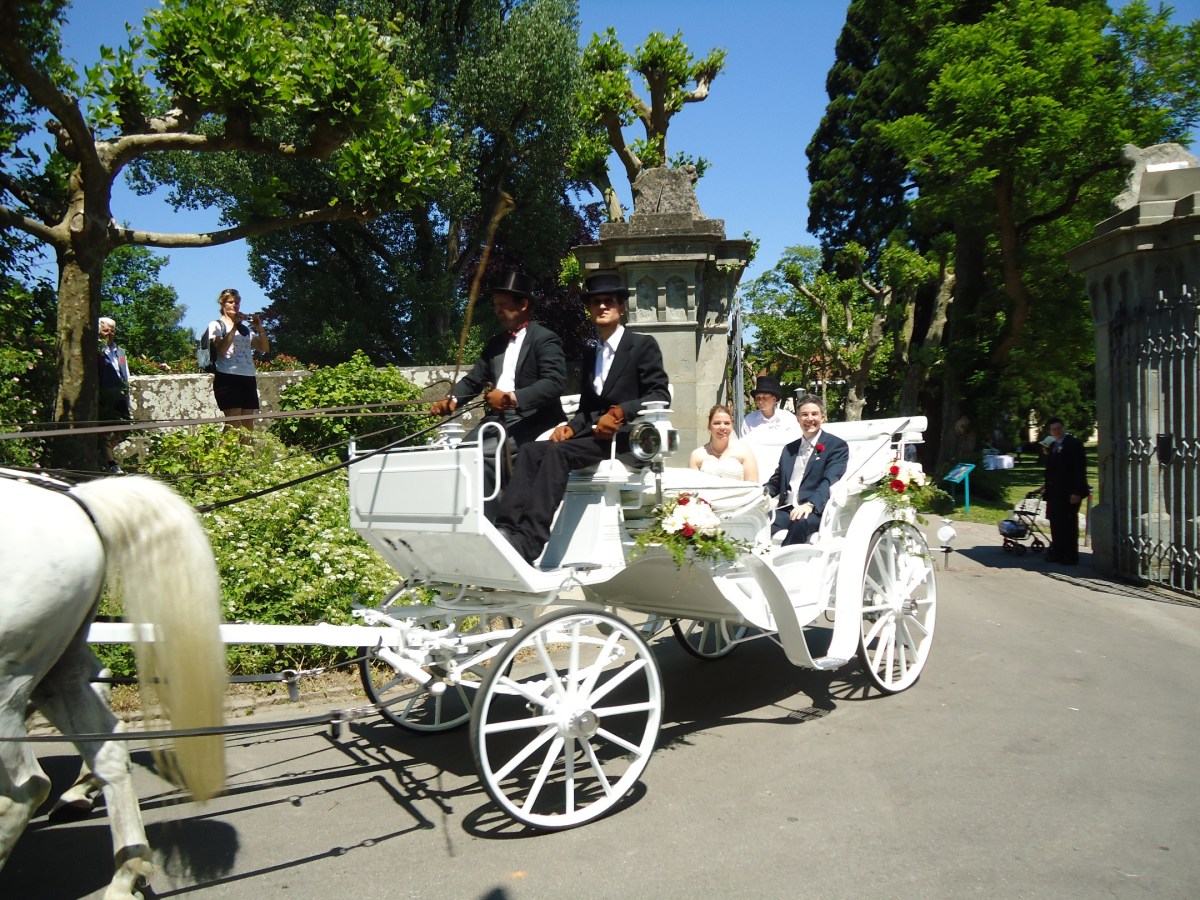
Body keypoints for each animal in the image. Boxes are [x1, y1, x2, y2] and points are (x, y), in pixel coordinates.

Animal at [0, 469, 227, 899]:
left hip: (8, 681)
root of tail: (75, 501)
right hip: (56, 669)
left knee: (27, 787)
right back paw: (125, 874)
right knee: (102, 746)